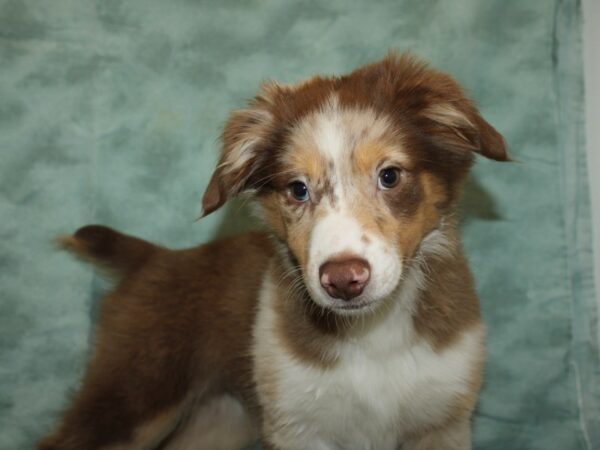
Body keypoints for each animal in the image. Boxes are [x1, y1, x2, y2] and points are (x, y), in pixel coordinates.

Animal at [38, 53, 506, 450]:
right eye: (297, 189)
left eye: (389, 176)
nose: (343, 281)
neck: (372, 334)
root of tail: (154, 256)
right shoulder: (297, 423)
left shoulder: (443, 421)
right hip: (135, 390)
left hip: (221, 417)